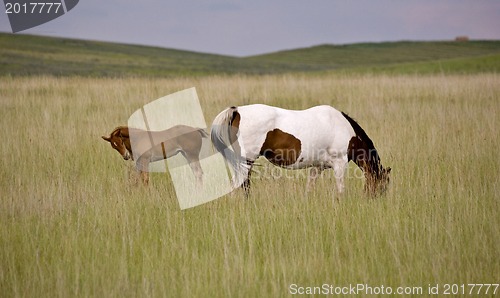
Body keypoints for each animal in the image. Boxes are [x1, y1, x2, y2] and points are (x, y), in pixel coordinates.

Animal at [211, 103, 390, 197]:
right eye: (383, 186)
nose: (375, 200)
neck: (346, 129)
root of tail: (237, 111)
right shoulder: (340, 163)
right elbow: (340, 190)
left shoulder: (318, 167)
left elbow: (309, 188)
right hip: (246, 162)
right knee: (240, 185)